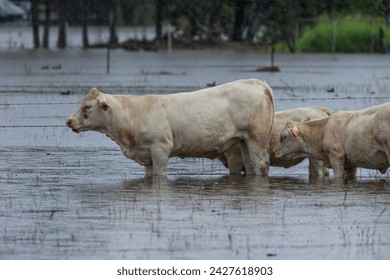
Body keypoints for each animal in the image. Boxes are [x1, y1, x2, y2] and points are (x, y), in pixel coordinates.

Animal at [67, 78, 274, 175]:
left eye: (87, 106)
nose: (68, 121)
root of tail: (255, 82)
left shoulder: (161, 148)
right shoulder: (147, 156)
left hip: (256, 139)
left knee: (260, 164)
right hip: (243, 141)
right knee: (250, 165)